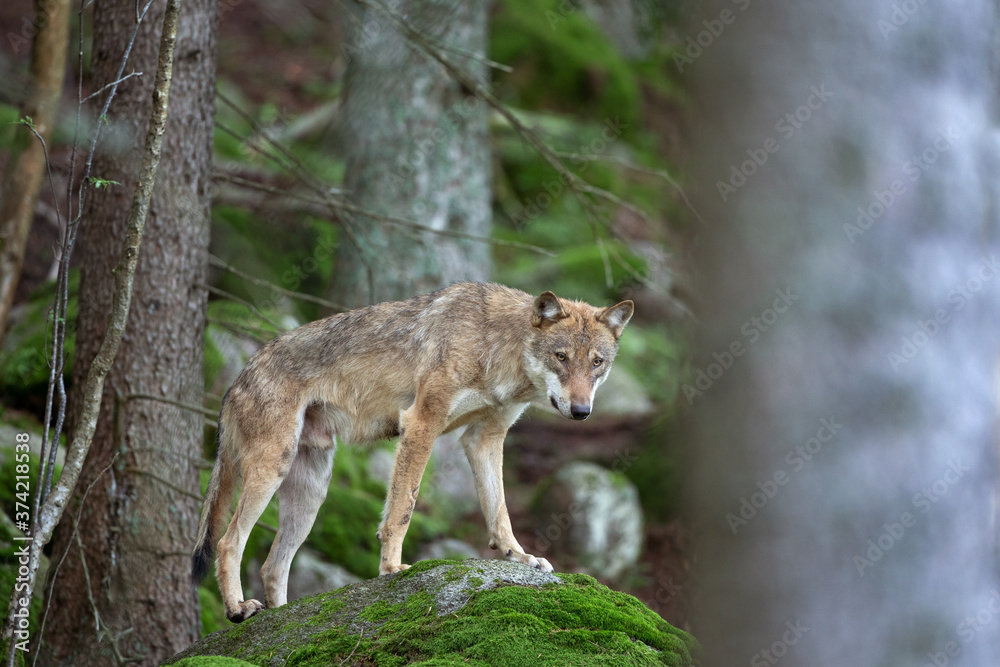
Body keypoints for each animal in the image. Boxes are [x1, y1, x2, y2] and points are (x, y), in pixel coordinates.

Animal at [191, 281, 633, 622]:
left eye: (596, 363)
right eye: (561, 357)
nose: (581, 411)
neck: (496, 348)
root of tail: (238, 377)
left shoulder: (485, 438)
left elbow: (499, 511)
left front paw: (520, 557)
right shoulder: (421, 424)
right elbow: (403, 508)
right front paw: (391, 569)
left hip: (311, 495)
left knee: (272, 566)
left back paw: (283, 617)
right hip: (273, 470)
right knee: (229, 542)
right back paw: (237, 609)